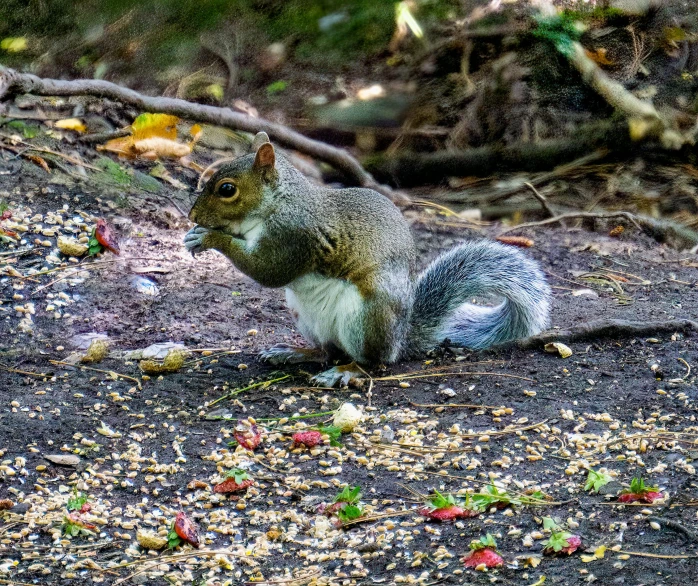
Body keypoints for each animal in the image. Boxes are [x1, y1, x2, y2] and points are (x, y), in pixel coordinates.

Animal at [186, 133, 548, 388]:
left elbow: (269, 271)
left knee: (372, 362)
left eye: (227, 189)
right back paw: (295, 352)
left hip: (367, 317)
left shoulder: (294, 237)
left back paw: (345, 372)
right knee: (327, 351)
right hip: (304, 315)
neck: (278, 203)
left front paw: (210, 238)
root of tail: (400, 339)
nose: (192, 215)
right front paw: (194, 235)